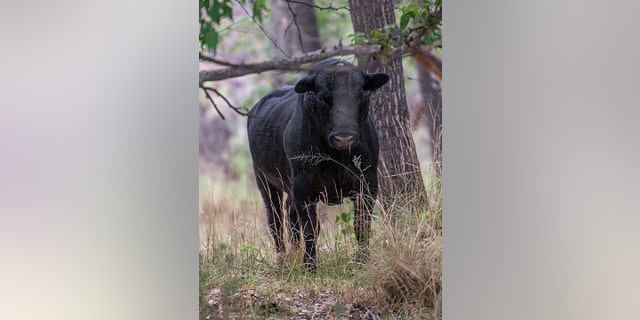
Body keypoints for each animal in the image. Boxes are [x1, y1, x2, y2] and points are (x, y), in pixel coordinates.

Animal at [248, 58, 390, 270]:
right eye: (324, 97)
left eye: (361, 96)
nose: (344, 137)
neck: (337, 157)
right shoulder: (303, 187)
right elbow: (310, 228)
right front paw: (310, 266)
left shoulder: (368, 185)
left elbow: (361, 225)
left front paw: (362, 261)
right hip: (265, 180)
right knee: (275, 218)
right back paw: (282, 257)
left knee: (289, 213)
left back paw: (295, 250)